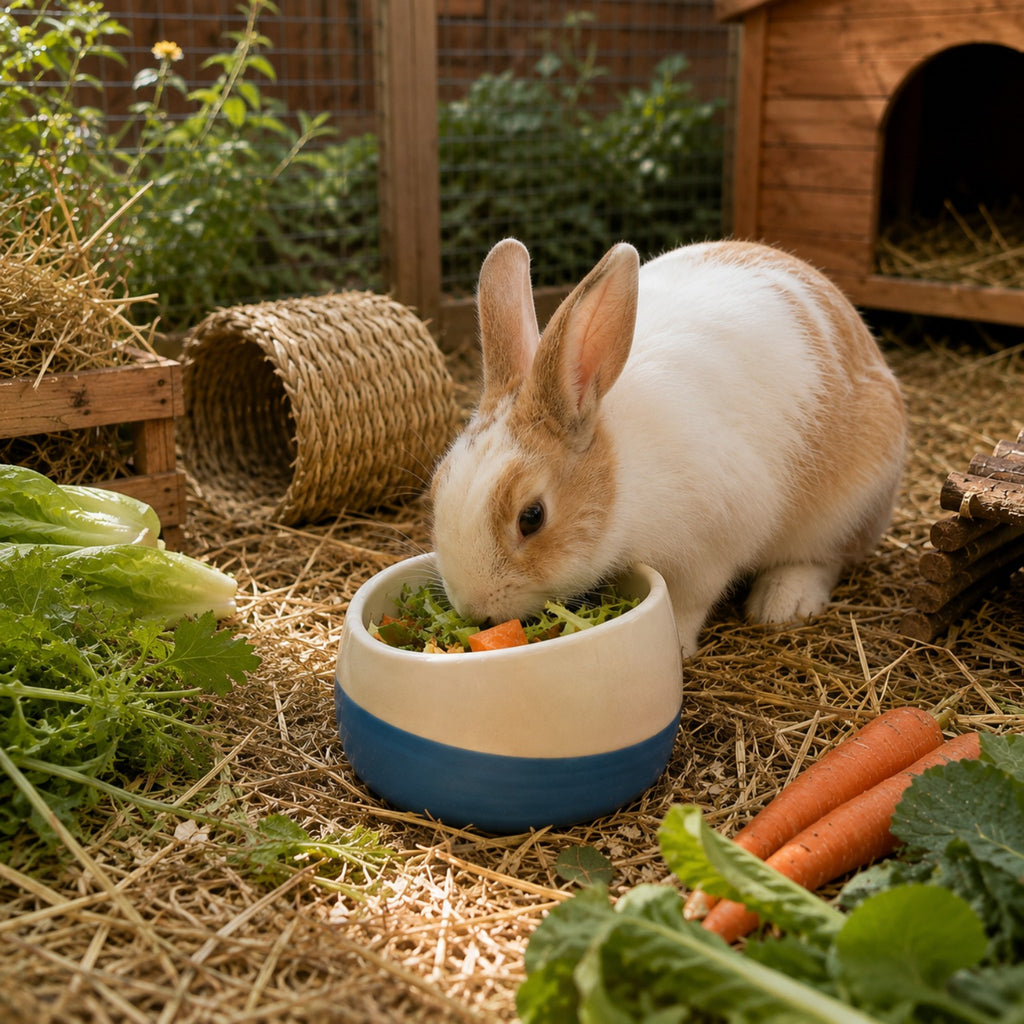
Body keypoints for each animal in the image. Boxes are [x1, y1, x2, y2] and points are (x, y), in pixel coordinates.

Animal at [429, 237, 907, 657]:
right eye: (436, 487)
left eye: (532, 517)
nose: (475, 609)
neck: (621, 479)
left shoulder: (709, 550)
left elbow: (687, 602)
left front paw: (675, 646)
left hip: (844, 508)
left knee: (825, 558)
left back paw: (782, 603)